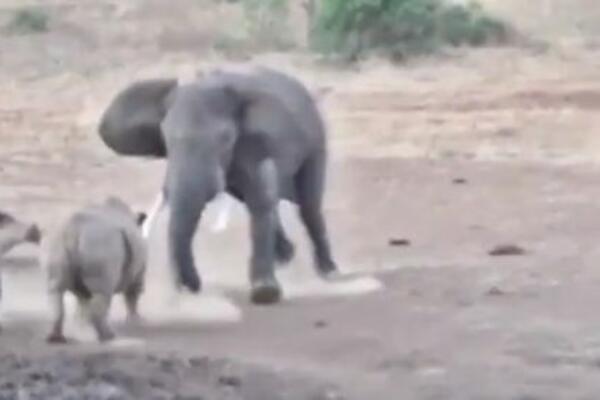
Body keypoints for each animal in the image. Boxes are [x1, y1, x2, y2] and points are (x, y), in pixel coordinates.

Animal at [42, 197, 148, 344]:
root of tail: (73, 231)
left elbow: (82, 300)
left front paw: (82, 324)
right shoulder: (139, 272)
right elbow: (133, 294)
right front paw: (136, 320)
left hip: (57, 243)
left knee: (55, 289)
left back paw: (55, 338)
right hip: (100, 245)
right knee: (102, 292)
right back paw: (108, 336)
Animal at [101, 65, 340, 304]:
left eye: (225, 139)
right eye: (165, 139)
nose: (189, 287)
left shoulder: (254, 143)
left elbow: (260, 197)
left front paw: (265, 293)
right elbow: (258, 199)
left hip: (315, 137)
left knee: (308, 204)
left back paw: (328, 271)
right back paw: (285, 256)